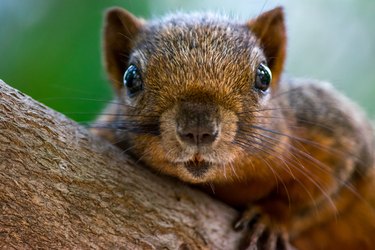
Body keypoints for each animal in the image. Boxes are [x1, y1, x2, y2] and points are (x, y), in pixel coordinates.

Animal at [91, 6, 375, 250]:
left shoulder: (335, 135)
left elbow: (318, 198)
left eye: (264, 76)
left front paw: (271, 217)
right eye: (130, 77)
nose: (198, 129)